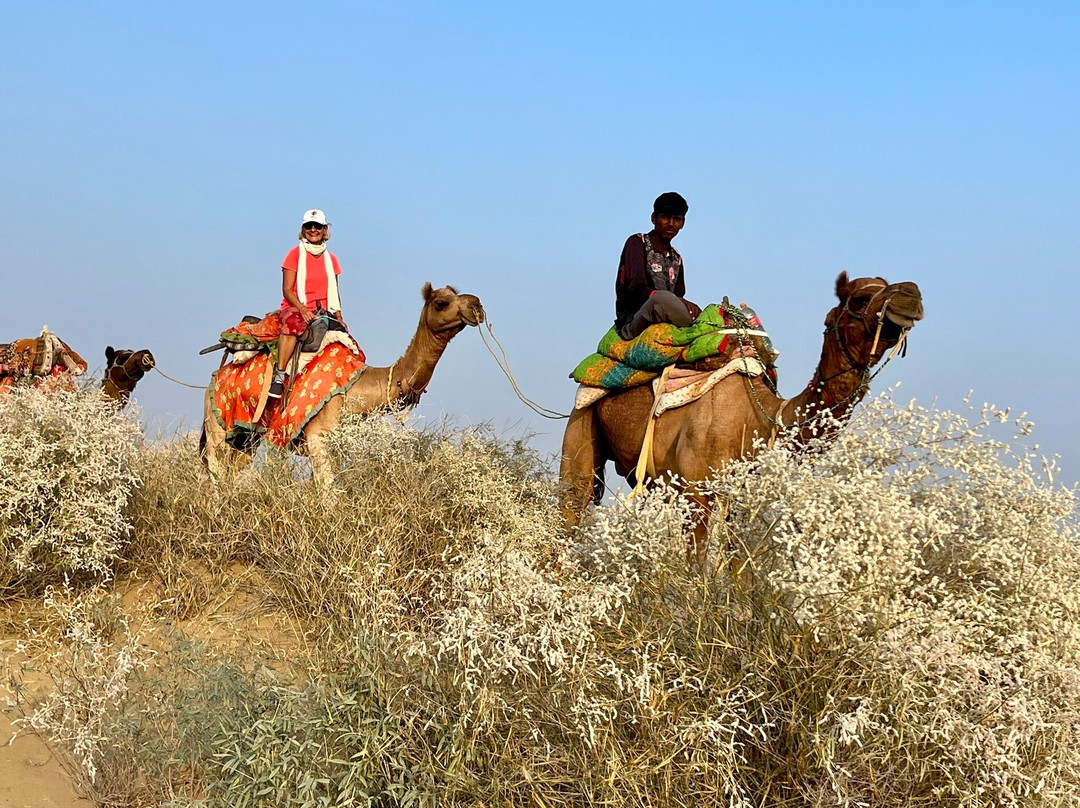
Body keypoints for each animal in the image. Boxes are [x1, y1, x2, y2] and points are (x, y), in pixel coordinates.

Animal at [201, 283, 485, 485]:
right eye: (441, 302)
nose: (477, 304)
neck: (355, 387)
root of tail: (215, 378)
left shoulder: (338, 445)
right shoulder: (318, 436)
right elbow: (328, 493)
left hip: (246, 436)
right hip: (218, 423)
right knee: (215, 468)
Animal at [560, 272, 924, 545]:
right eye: (860, 299)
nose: (912, 293)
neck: (765, 420)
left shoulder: (741, 499)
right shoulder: (696, 491)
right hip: (580, 426)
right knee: (571, 507)